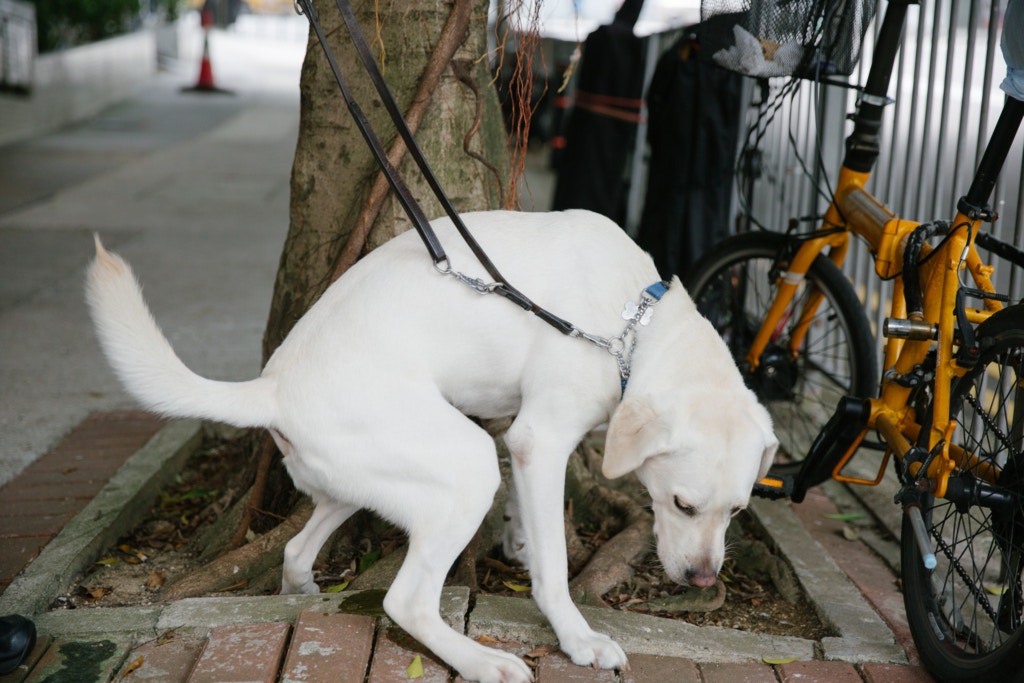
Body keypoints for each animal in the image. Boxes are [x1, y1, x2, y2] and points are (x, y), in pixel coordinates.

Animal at [88, 210, 774, 679]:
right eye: (683, 505)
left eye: (738, 510)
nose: (703, 579)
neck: (629, 326)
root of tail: (271, 387)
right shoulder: (541, 438)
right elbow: (553, 568)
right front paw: (577, 638)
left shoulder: (519, 435)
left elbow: (530, 517)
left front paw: (519, 542)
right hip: (465, 465)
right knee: (406, 601)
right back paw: (481, 662)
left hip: (359, 481)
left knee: (297, 551)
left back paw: (303, 597)